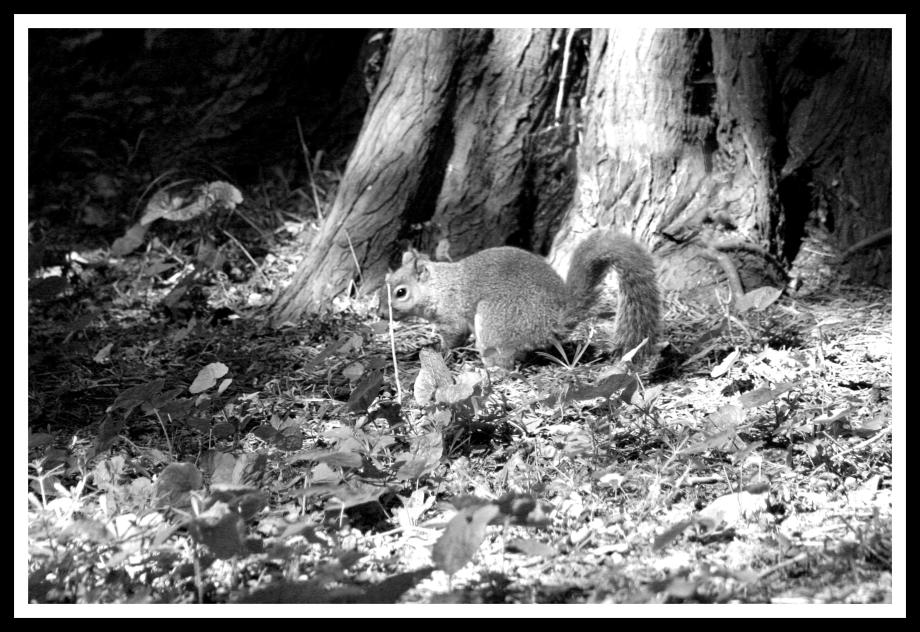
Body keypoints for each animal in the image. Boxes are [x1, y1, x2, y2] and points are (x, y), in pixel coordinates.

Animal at [378, 230, 660, 368]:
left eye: (401, 292)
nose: (381, 314)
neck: (438, 287)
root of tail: (553, 319)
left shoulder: (451, 314)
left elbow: (454, 336)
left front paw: (439, 351)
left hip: (494, 319)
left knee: (504, 364)